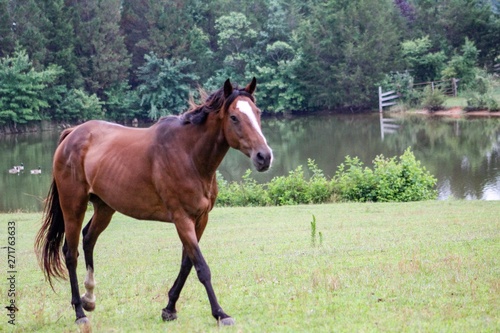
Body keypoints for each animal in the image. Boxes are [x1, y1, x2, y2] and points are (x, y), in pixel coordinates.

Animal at [35, 78, 274, 326]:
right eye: (234, 117)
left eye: (257, 112)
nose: (264, 156)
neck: (188, 154)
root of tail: (73, 133)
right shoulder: (182, 219)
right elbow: (201, 267)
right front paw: (220, 313)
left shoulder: (200, 219)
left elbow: (187, 264)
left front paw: (169, 308)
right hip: (74, 206)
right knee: (70, 254)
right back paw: (80, 313)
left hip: (104, 207)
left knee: (88, 239)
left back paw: (89, 298)